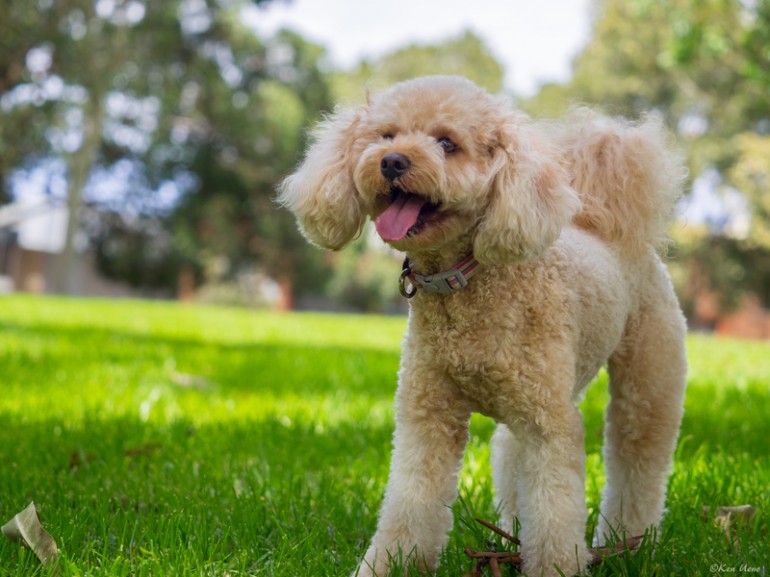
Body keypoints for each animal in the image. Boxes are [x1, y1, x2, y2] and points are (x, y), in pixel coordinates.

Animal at [280, 76, 688, 576]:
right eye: (386, 135)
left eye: (447, 143)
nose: (391, 161)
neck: (467, 282)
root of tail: (611, 227)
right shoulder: (428, 416)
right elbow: (410, 503)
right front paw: (390, 565)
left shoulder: (549, 427)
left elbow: (555, 513)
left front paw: (554, 567)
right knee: (511, 458)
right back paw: (513, 532)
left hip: (645, 381)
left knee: (638, 458)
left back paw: (630, 541)